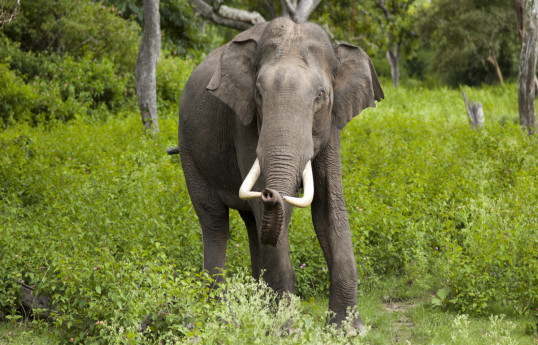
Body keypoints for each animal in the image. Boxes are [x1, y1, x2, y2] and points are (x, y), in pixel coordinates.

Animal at [170, 17, 384, 332]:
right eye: (259, 93)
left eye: (320, 95)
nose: (271, 192)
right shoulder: (244, 123)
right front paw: (287, 329)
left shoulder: (331, 125)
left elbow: (328, 208)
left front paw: (348, 330)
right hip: (189, 152)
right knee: (215, 221)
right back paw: (220, 316)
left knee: (252, 224)